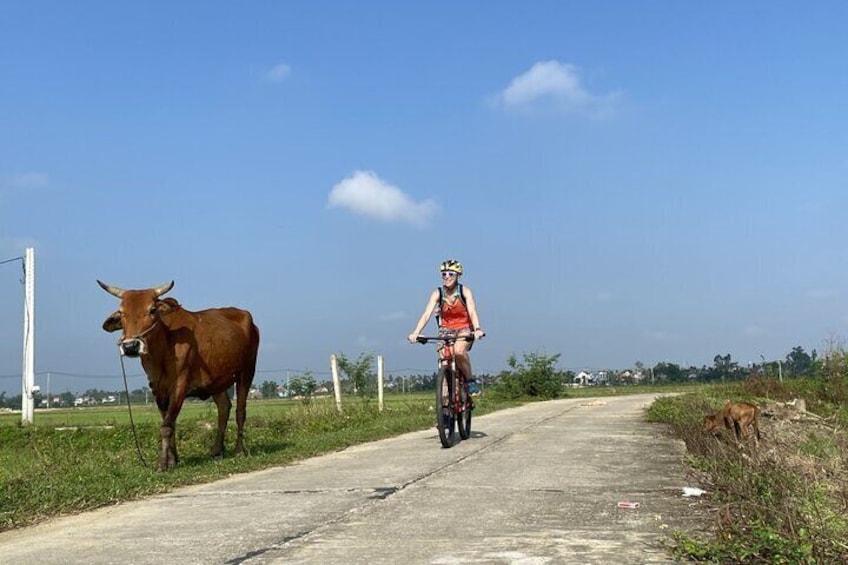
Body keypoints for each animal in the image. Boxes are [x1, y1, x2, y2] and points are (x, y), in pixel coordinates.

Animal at [98, 280, 258, 470]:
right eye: (122, 312)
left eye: (152, 310)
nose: (130, 346)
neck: (165, 343)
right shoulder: (157, 387)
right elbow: (169, 422)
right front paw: (173, 460)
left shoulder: (180, 384)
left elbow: (167, 425)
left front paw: (162, 463)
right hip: (217, 380)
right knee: (224, 407)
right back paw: (217, 450)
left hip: (247, 371)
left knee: (240, 411)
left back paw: (239, 450)